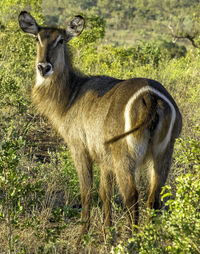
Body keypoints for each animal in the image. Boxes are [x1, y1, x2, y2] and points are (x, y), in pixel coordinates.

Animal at [19, 11, 183, 242]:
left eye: (61, 40)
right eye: (37, 39)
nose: (44, 67)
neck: (71, 95)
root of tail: (151, 96)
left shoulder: (79, 148)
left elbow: (87, 191)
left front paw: (81, 237)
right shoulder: (104, 159)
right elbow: (105, 193)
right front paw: (107, 233)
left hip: (125, 156)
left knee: (132, 196)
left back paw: (133, 240)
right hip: (163, 153)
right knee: (154, 199)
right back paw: (151, 240)